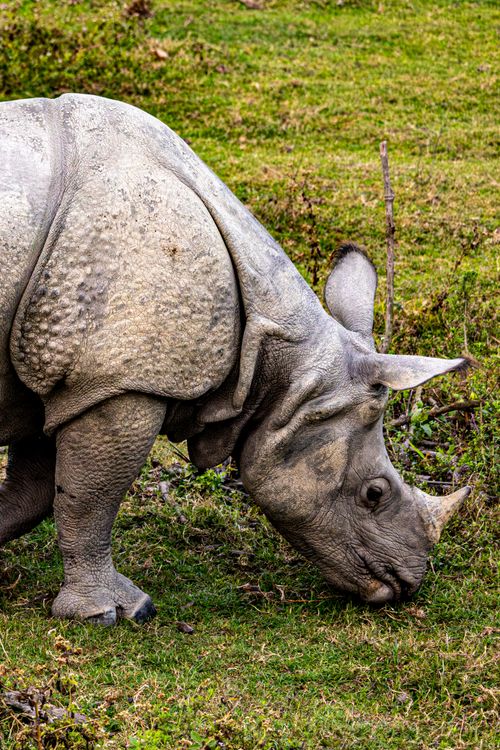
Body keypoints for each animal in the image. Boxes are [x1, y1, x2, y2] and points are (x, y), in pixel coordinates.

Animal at [0, 94, 471, 624]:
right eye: (374, 494)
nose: (407, 584)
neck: (282, 360)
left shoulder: (65, 377)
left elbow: (38, 491)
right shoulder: (115, 380)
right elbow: (90, 497)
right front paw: (116, 612)